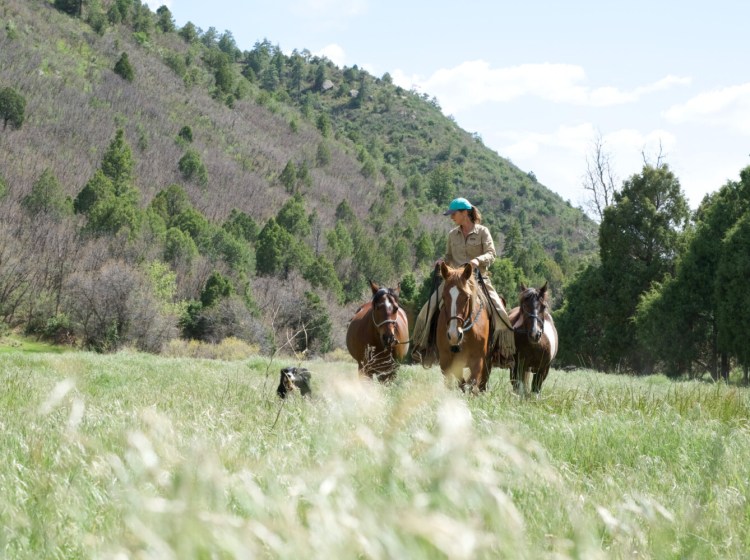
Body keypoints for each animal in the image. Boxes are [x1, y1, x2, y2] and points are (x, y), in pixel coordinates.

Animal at [436, 262, 493, 392]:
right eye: (443, 297)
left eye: (467, 297)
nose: (454, 335)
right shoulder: (446, 361)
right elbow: (459, 382)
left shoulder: (478, 360)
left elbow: (472, 384)